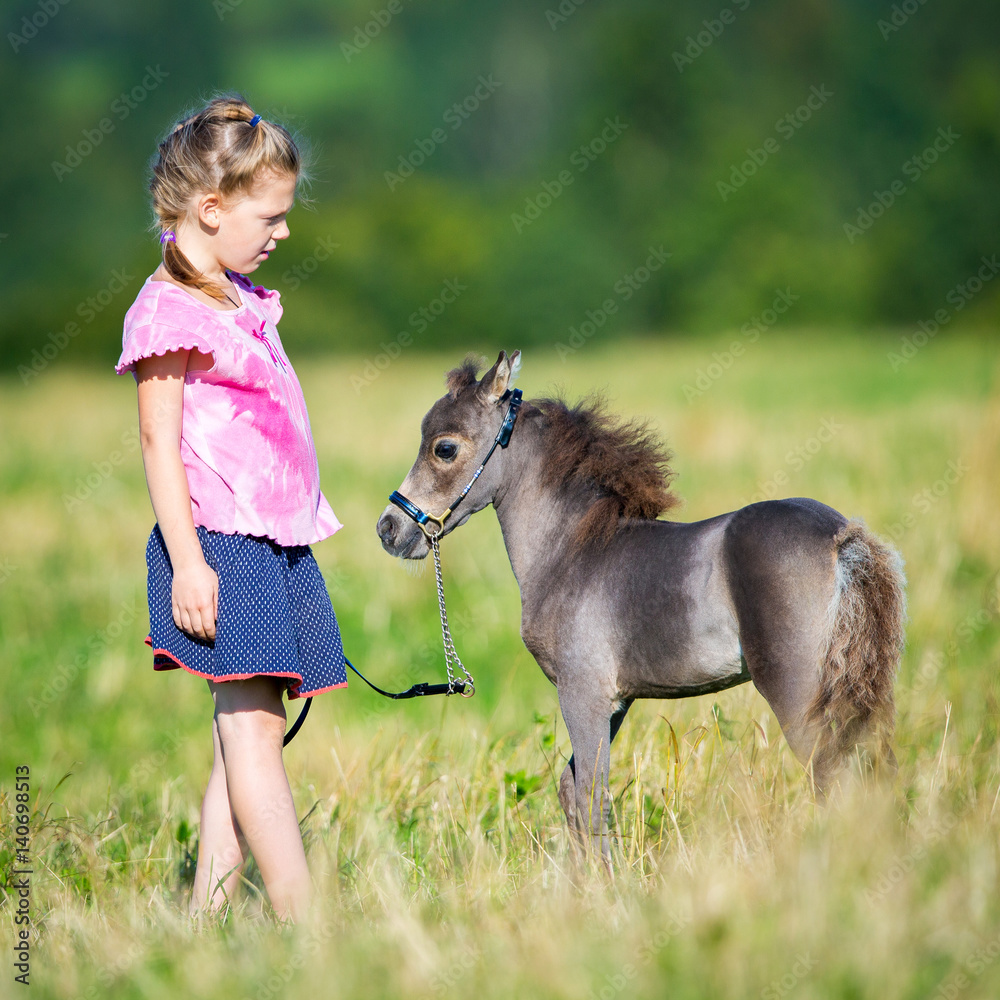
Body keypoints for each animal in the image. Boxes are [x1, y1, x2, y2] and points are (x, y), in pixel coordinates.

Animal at [376, 351, 907, 858]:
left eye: (445, 447)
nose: (389, 529)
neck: (573, 551)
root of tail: (842, 536)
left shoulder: (582, 692)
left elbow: (591, 796)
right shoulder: (618, 701)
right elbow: (571, 791)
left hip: (798, 693)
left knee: (833, 776)